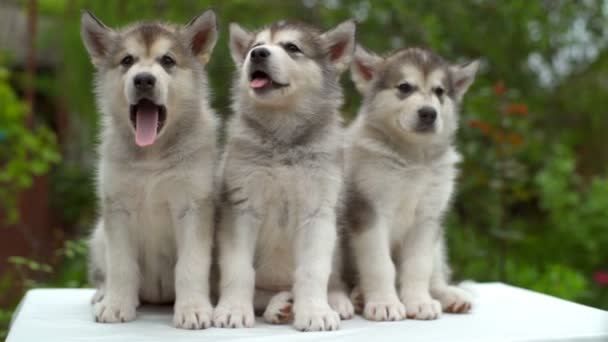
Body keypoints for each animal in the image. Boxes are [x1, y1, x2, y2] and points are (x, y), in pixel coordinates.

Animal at [214, 19, 356, 332]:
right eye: (256, 46)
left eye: (292, 47)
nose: (257, 54)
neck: (282, 137)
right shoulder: (242, 208)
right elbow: (238, 268)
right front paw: (232, 309)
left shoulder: (318, 211)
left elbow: (313, 270)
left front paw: (315, 311)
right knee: (264, 294)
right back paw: (278, 304)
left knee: (332, 278)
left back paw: (335, 301)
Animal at [342, 44, 480, 320]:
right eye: (404, 87)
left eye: (439, 91)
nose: (429, 113)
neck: (412, 159)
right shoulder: (370, 211)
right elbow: (380, 264)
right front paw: (384, 302)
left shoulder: (428, 218)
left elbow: (418, 265)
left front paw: (419, 302)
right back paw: (360, 296)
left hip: (439, 243)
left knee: (436, 275)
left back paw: (451, 296)